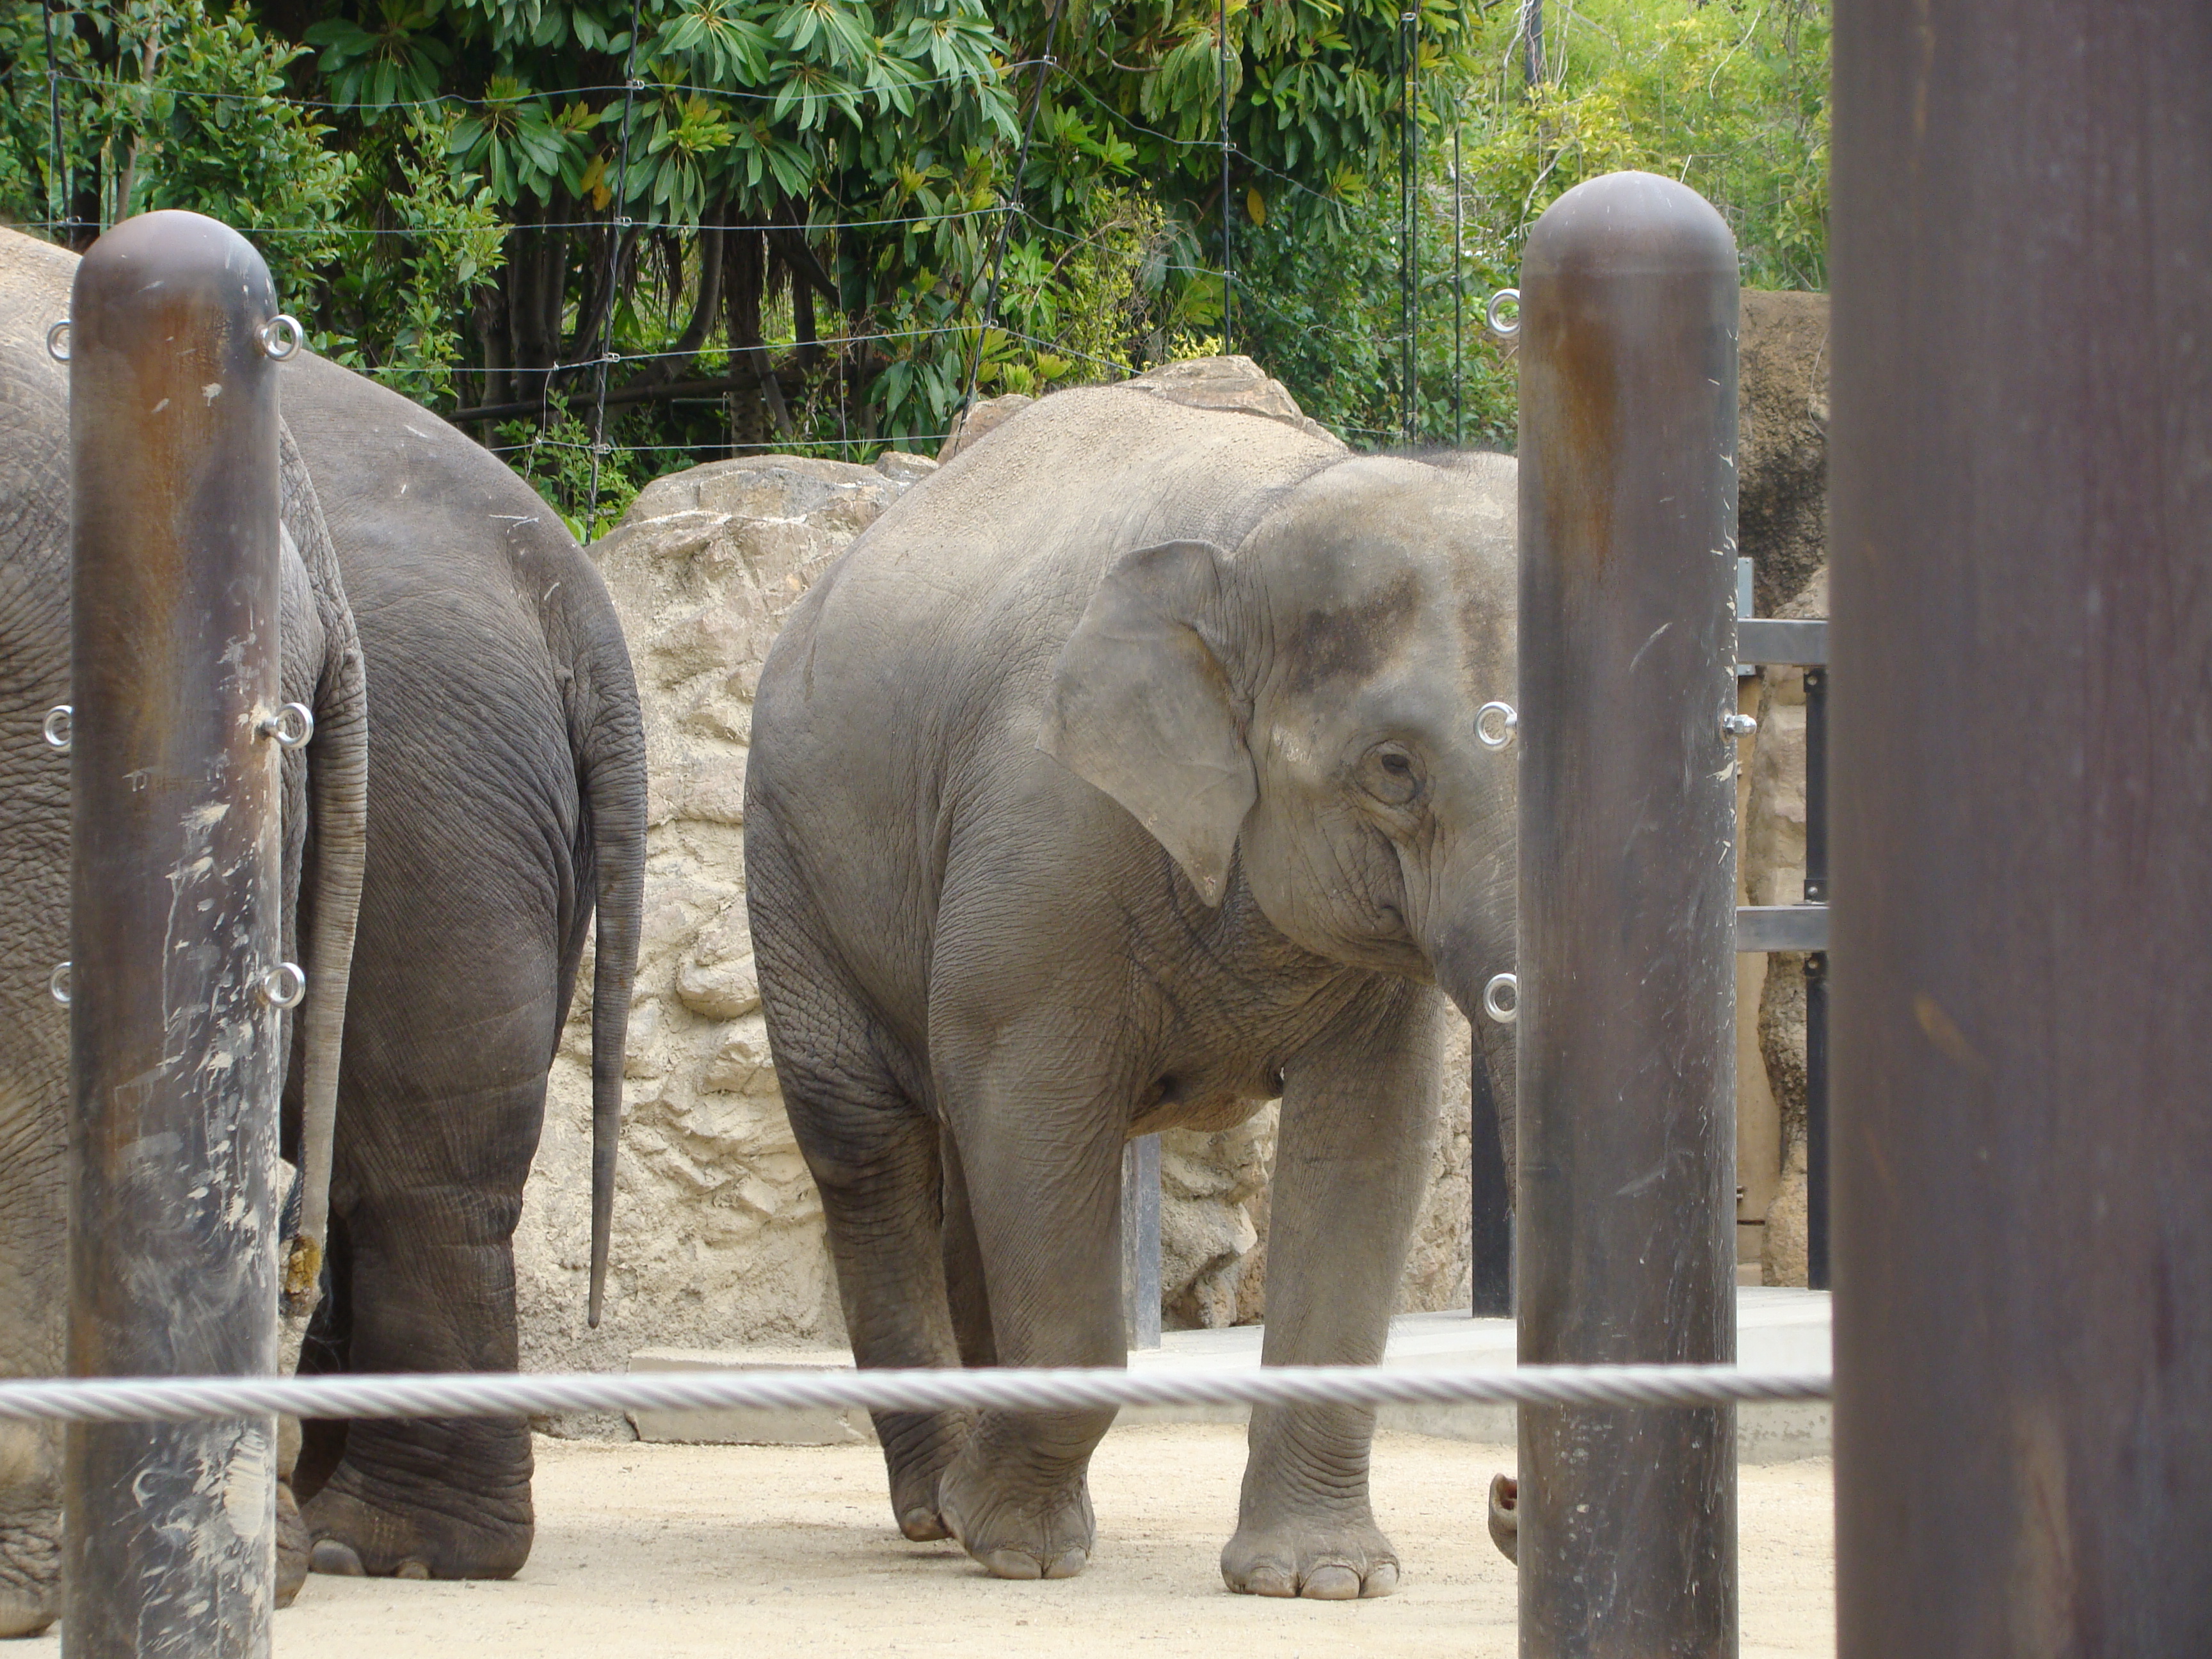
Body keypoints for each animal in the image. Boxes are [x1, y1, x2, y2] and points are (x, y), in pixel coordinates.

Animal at [743, 382, 1521, 1601]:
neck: (1257, 526)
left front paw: (1320, 1583)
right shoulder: (1044, 829)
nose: (1506, 1503)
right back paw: (937, 1510)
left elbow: (1370, 1139)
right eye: (1394, 769)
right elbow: (1028, 1102)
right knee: (870, 1149)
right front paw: (1012, 1545)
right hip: (792, 862)